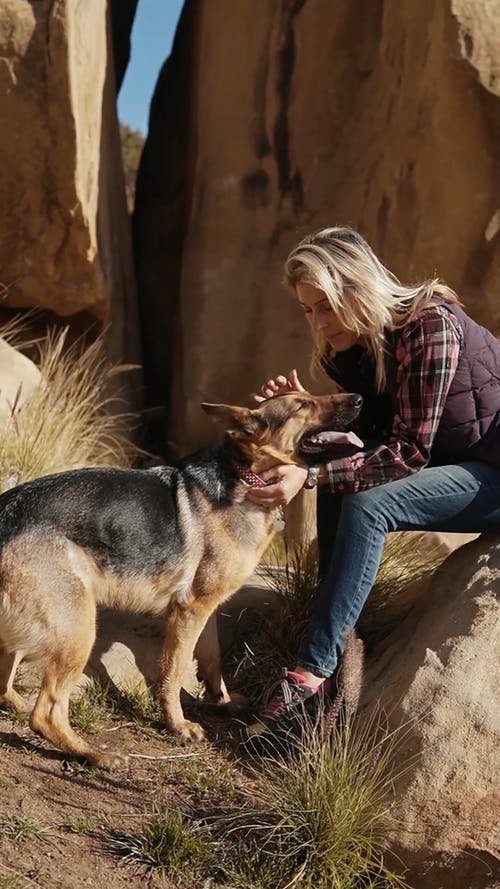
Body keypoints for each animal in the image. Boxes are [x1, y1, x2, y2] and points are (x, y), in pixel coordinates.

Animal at [0, 392, 360, 768]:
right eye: (303, 404)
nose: (359, 399)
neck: (244, 476)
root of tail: (6, 513)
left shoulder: (206, 609)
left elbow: (212, 657)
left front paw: (220, 701)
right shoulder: (190, 609)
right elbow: (173, 673)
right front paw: (177, 725)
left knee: (4, 686)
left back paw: (21, 706)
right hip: (79, 632)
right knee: (46, 714)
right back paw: (95, 754)